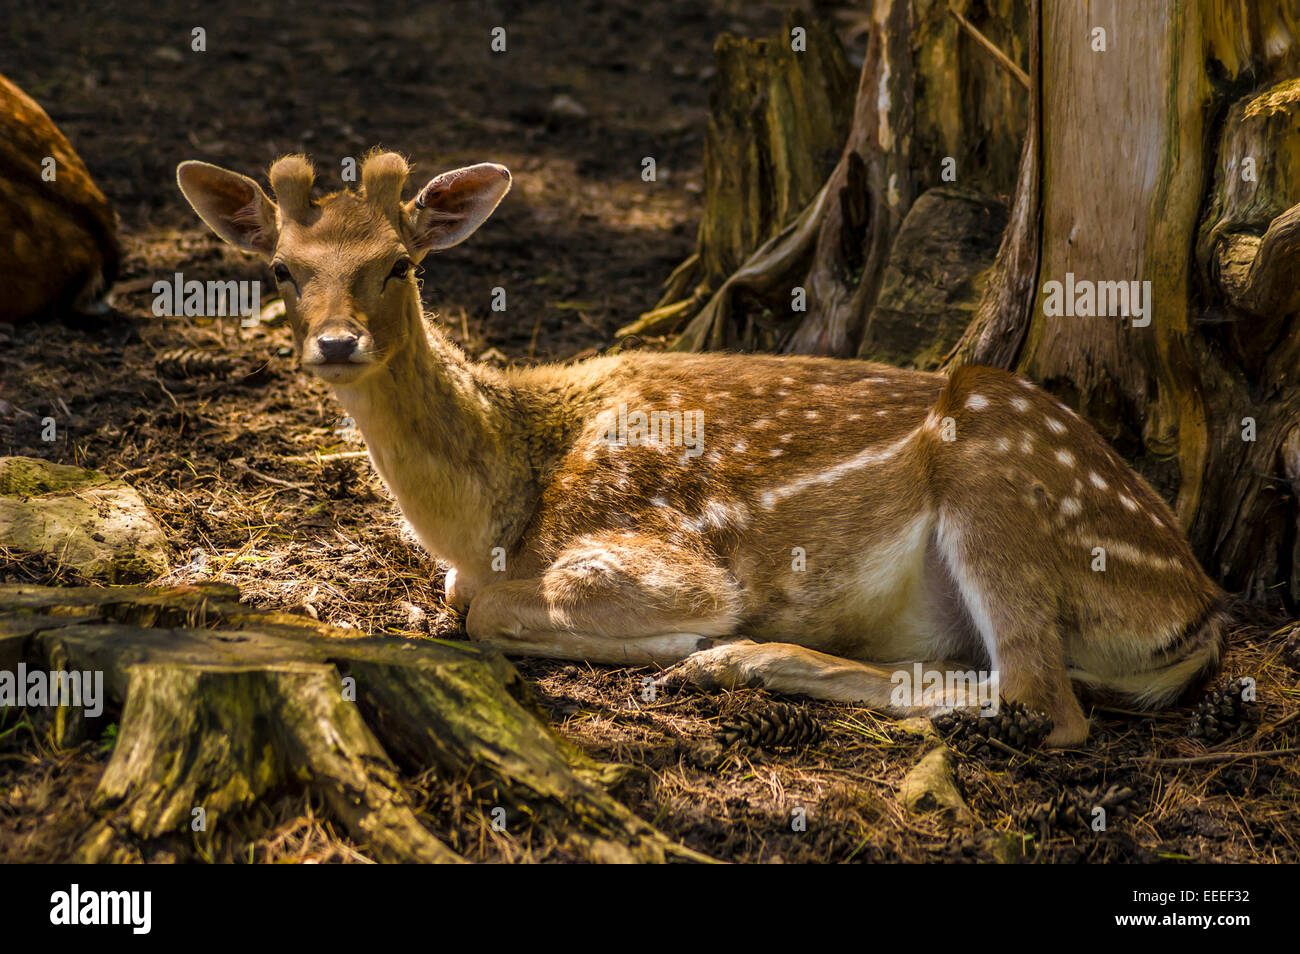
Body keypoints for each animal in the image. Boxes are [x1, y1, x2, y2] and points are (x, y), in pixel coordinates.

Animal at [178, 151, 1222, 748]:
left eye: (402, 264)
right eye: (282, 270)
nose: (336, 343)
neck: (497, 513)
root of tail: (1199, 603)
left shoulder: (658, 550)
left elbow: (485, 611)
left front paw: (682, 639)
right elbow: (460, 598)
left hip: (1001, 480)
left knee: (1047, 704)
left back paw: (733, 659)